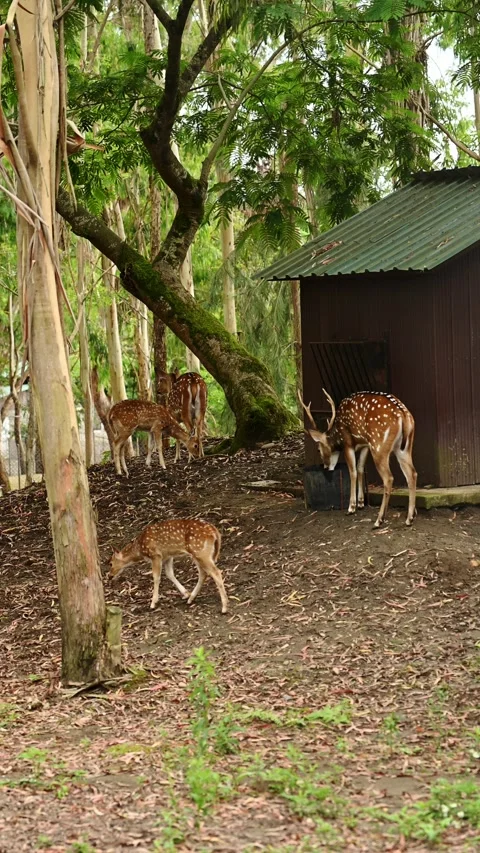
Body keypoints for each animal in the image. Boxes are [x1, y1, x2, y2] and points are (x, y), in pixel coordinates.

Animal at [299, 389, 417, 528]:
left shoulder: (348, 443)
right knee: (412, 473)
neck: (338, 434)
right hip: (404, 447)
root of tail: (404, 415)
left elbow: (353, 471)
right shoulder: (365, 444)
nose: (326, 468)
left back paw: (379, 520)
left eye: (318, 450)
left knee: (389, 478)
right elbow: (360, 468)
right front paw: (361, 502)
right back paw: (410, 517)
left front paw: (351, 507)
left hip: (379, 446)